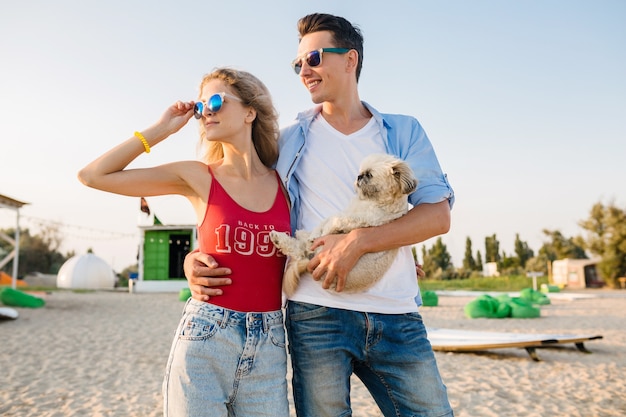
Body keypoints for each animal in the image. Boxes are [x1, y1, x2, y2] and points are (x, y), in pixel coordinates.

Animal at [266, 154, 414, 296]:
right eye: (361, 172)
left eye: (369, 174)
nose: (359, 176)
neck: (371, 200)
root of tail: (309, 263)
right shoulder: (348, 211)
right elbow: (326, 220)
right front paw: (315, 233)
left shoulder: (360, 218)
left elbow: (334, 220)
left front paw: (322, 233)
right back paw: (288, 237)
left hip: (319, 252)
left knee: (299, 251)